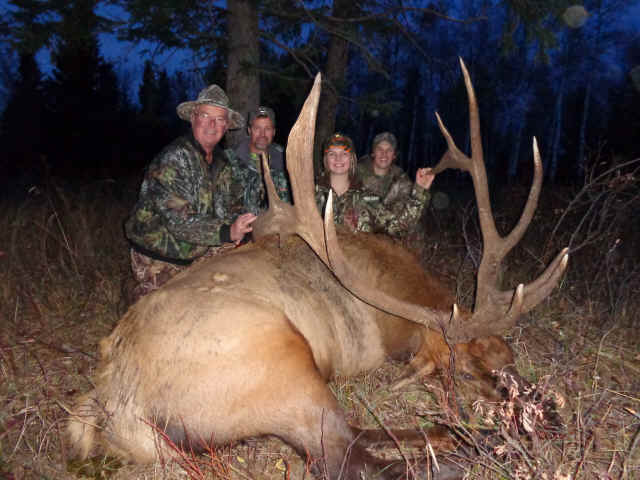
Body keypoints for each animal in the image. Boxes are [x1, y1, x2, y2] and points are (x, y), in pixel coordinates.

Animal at [66, 59, 568, 479]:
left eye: (509, 358)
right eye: (462, 373)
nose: (550, 417)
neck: (391, 309)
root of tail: (115, 410)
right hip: (283, 368)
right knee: (351, 459)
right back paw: (473, 448)